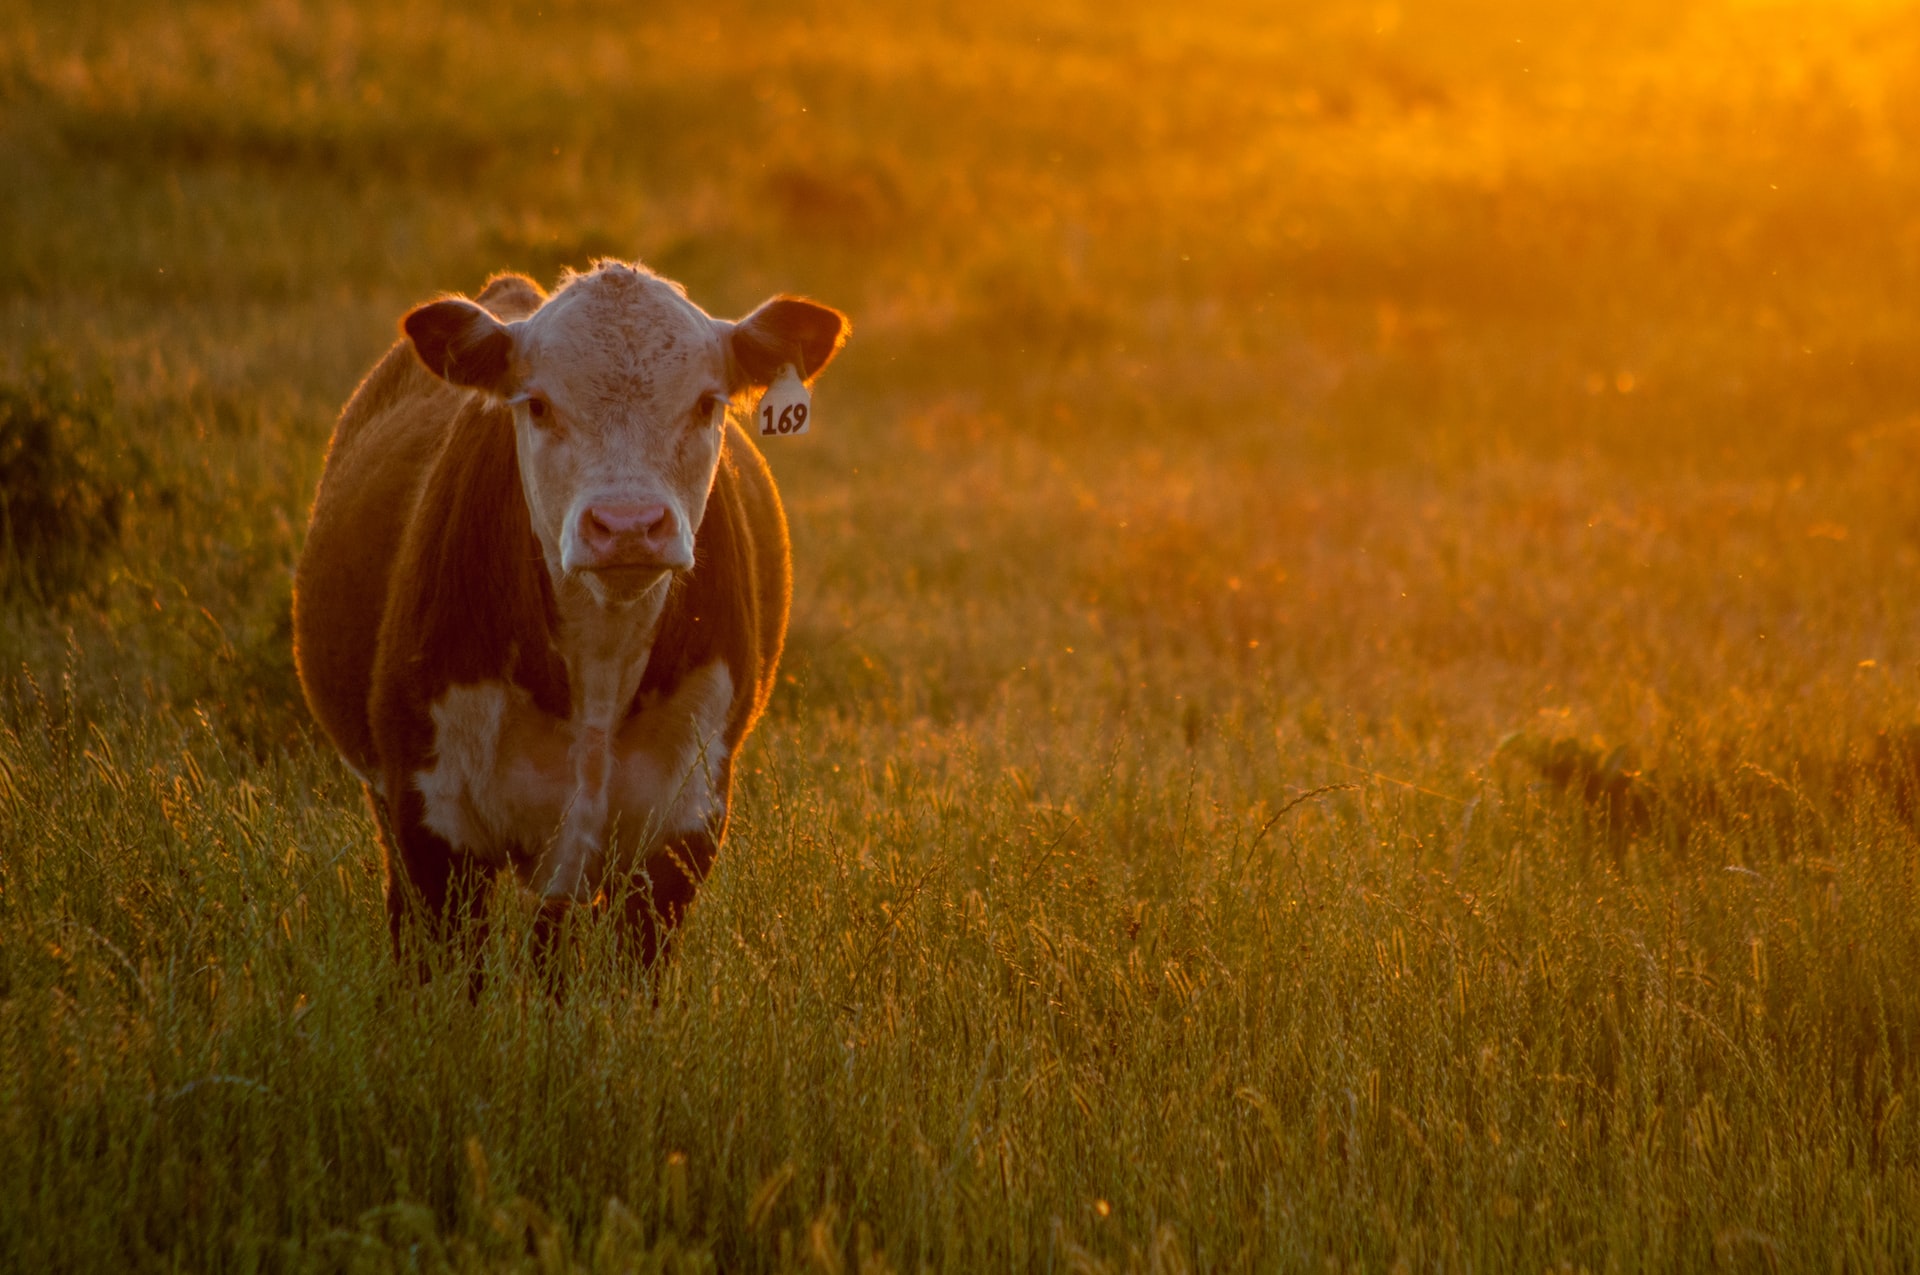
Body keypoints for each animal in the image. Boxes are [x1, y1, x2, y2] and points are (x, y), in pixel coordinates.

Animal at [293, 263, 848, 971]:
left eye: (706, 402)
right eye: (537, 405)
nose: (628, 525)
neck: (600, 660)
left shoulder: (681, 828)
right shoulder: (433, 823)